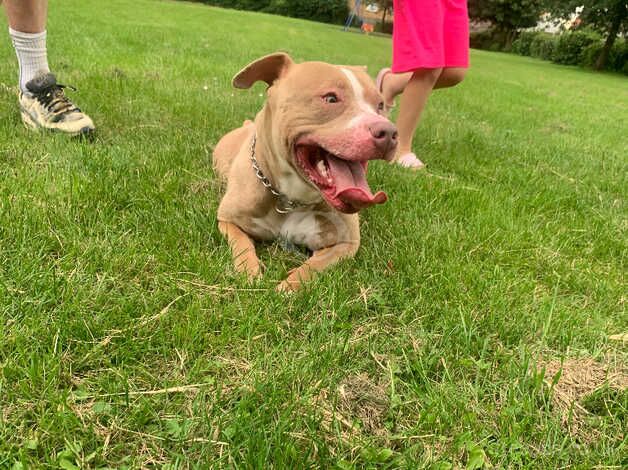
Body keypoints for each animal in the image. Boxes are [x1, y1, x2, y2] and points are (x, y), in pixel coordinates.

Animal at [213, 53, 394, 292]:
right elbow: (241, 244)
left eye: (380, 105)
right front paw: (248, 272)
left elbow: (313, 266)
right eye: (330, 99)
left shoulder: (346, 243)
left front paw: (287, 287)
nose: (390, 132)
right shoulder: (227, 220)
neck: (290, 198)